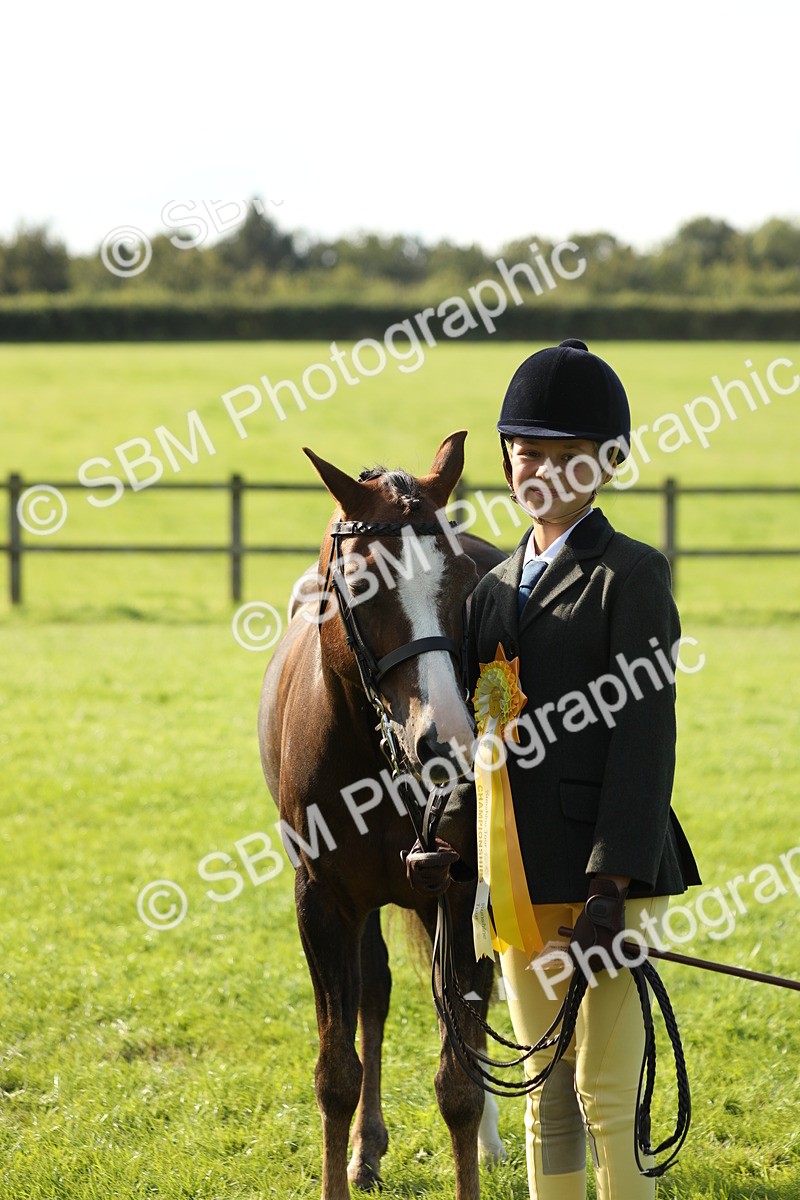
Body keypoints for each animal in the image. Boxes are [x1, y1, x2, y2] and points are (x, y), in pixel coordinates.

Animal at [258, 431, 508, 1200]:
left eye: (464, 581)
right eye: (362, 585)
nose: (447, 740)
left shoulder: (458, 894)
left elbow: (459, 1080)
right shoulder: (323, 903)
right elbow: (338, 1074)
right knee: (377, 994)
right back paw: (367, 1150)